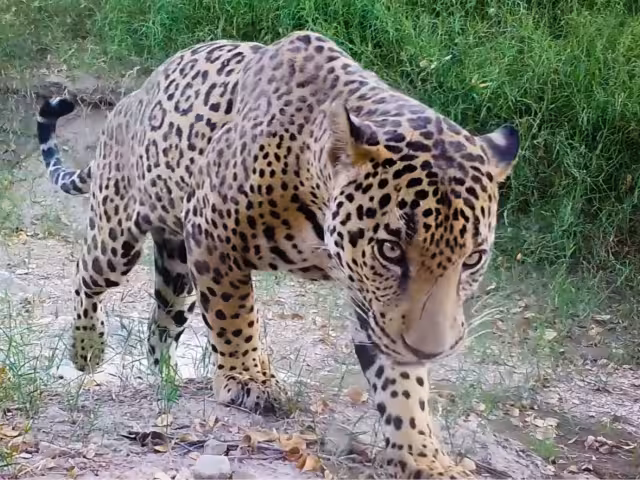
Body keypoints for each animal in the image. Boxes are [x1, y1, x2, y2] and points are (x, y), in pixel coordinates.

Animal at [36, 31, 519, 479]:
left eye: (473, 259)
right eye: (390, 249)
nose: (430, 351)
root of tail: (129, 101)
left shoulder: (375, 305)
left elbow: (401, 385)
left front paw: (424, 455)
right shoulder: (213, 231)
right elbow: (234, 314)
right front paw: (248, 380)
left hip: (178, 275)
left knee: (160, 327)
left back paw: (167, 380)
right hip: (118, 236)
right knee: (86, 276)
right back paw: (87, 349)